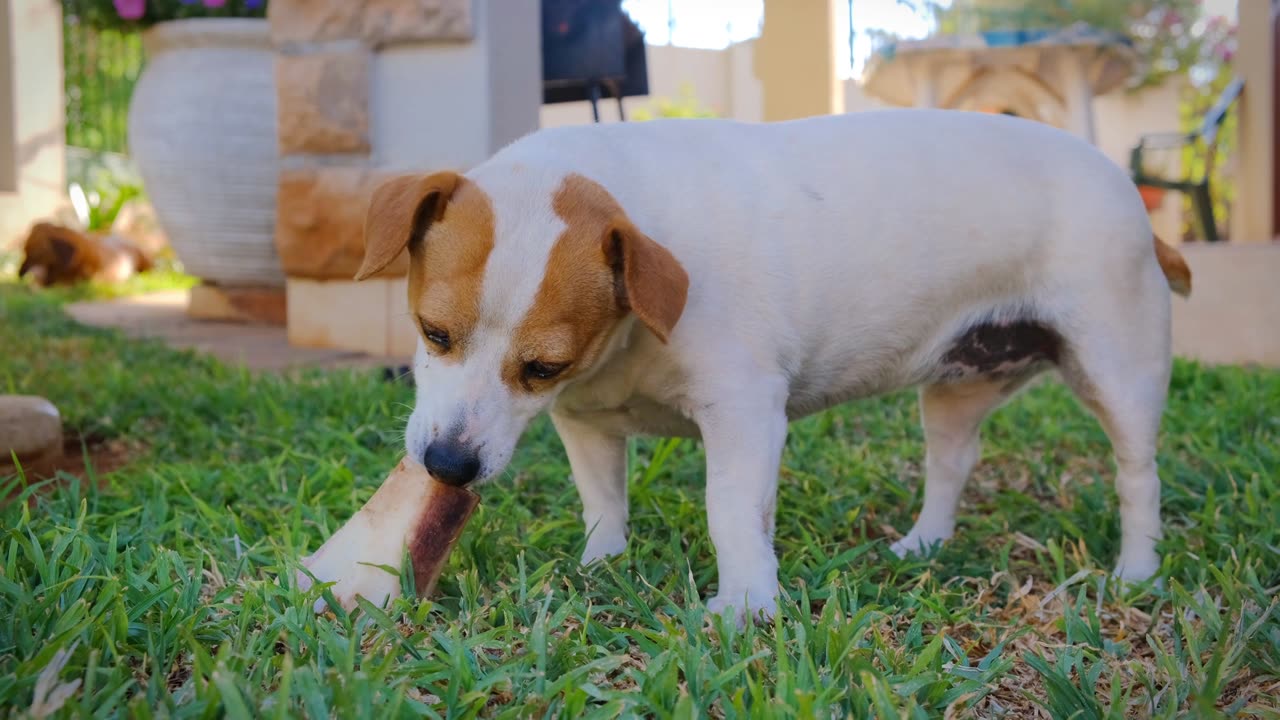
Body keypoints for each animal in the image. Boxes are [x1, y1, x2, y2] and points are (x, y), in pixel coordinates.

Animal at [296, 109, 1187, 620]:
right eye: (433, 333)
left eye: (540, 366)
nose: (447, 465)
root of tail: (1124, 184)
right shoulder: (587, 422)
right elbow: (602, 502)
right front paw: (603, 565)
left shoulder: (745, 414)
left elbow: (730, 510)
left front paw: (748, 600)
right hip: (957, 389)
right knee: (950, 464)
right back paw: (923, 544)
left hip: (1119, 367)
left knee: (1138, 474)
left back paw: (1138, 570)